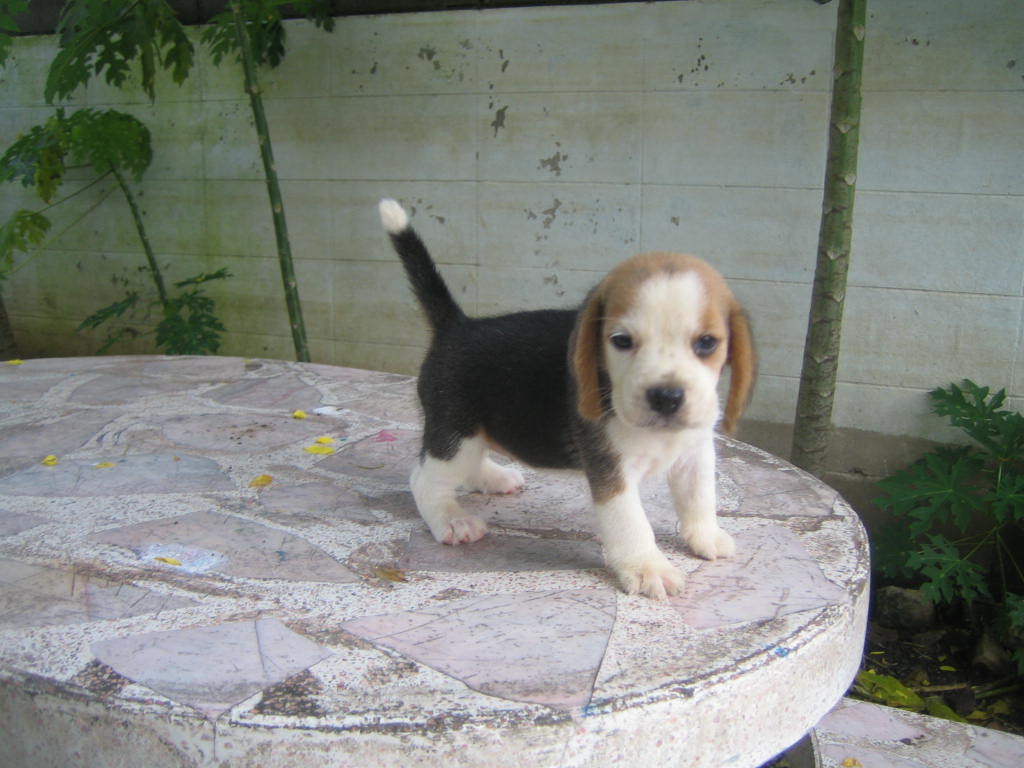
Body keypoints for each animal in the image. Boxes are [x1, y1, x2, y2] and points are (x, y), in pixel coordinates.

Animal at [379, 199, 756, 600]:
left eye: (707, 343)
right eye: (621, 341)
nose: (666, 397)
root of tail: (457, 326)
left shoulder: (695, 451)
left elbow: (699, 496)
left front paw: (705, 536)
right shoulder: (612, 470)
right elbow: (631, 521)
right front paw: (647, 567)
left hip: (470, 435)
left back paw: (493, 478)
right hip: (455, 433)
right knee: (423, 479)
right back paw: (451, 520)